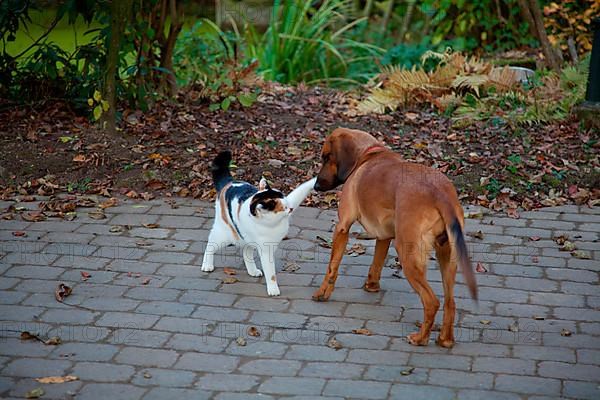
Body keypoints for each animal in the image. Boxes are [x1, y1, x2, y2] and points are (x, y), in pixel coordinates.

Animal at [202, 152, 316, 296]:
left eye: (286, 203)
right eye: (283, 207)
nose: (290, 209)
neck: (273, 225)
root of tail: (229, 183)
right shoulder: (266, 251)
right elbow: (271, 273)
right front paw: (273, 289)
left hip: (245, 238)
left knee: (246, 252)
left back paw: (252, 271)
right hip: (224, 234)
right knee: (210, 245)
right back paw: (207, 265)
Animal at [312, 127, 476, 346]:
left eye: (326, 157)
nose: (316, 187)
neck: (367, 155)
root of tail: (440, 194)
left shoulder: (342, 227)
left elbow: (332, 268)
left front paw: (322, 293)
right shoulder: (384, 236)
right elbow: (377, 263)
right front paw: (371, 286)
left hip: (408, 254)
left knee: (432, 301)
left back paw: (420, 338)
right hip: (447, 257)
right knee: (450, 302)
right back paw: (445, 340)